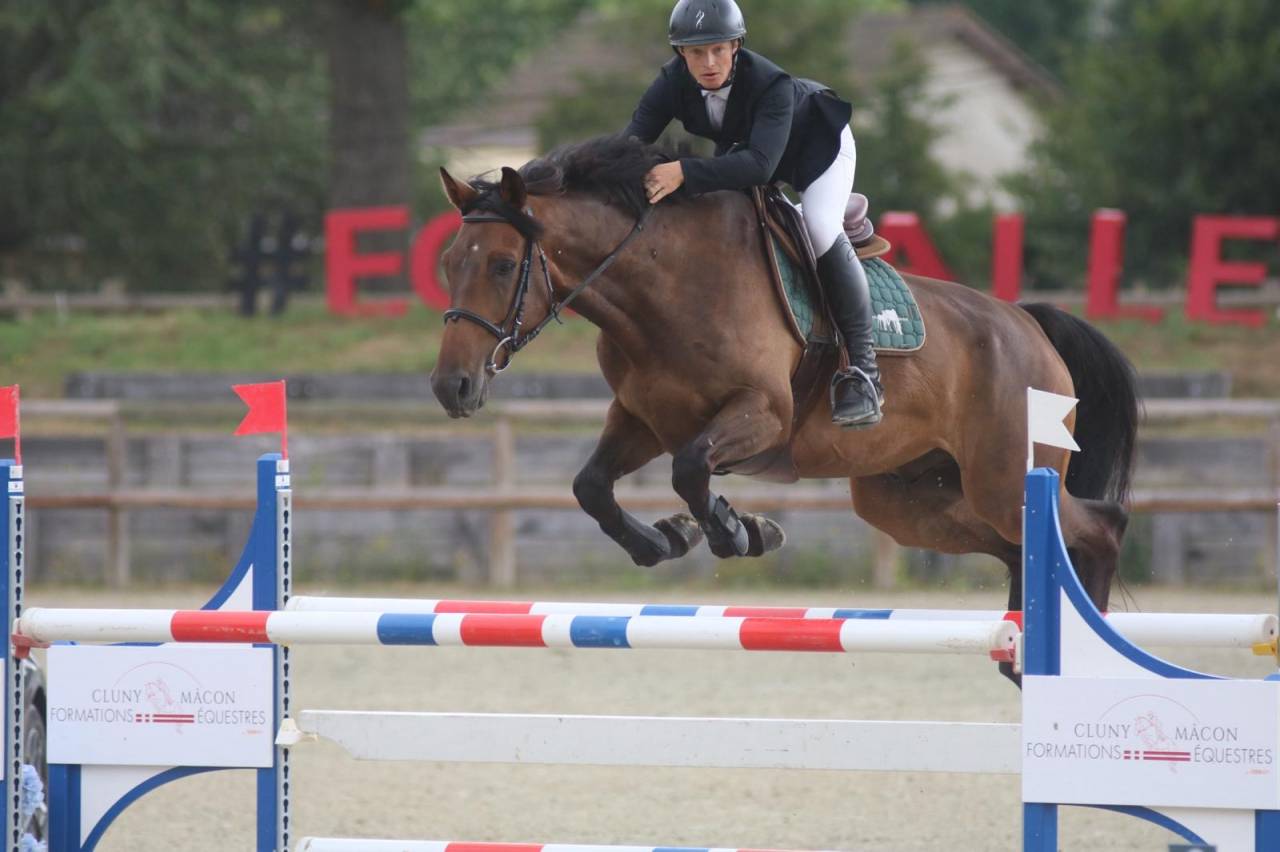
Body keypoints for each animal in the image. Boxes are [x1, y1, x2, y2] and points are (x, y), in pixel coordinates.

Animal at [430, 135, 1140, 656]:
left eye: (502, 265)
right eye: (448, 263)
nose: (451, 387)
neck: (664, 285)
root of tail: (1028, 325)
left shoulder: (763, 415)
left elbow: (690, 469)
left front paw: (737, 532)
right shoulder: (642, 419)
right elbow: (592, 487)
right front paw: (668, 541)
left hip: (1002, 474)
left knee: (1097, 529)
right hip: (908, 499)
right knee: (1022, 547)